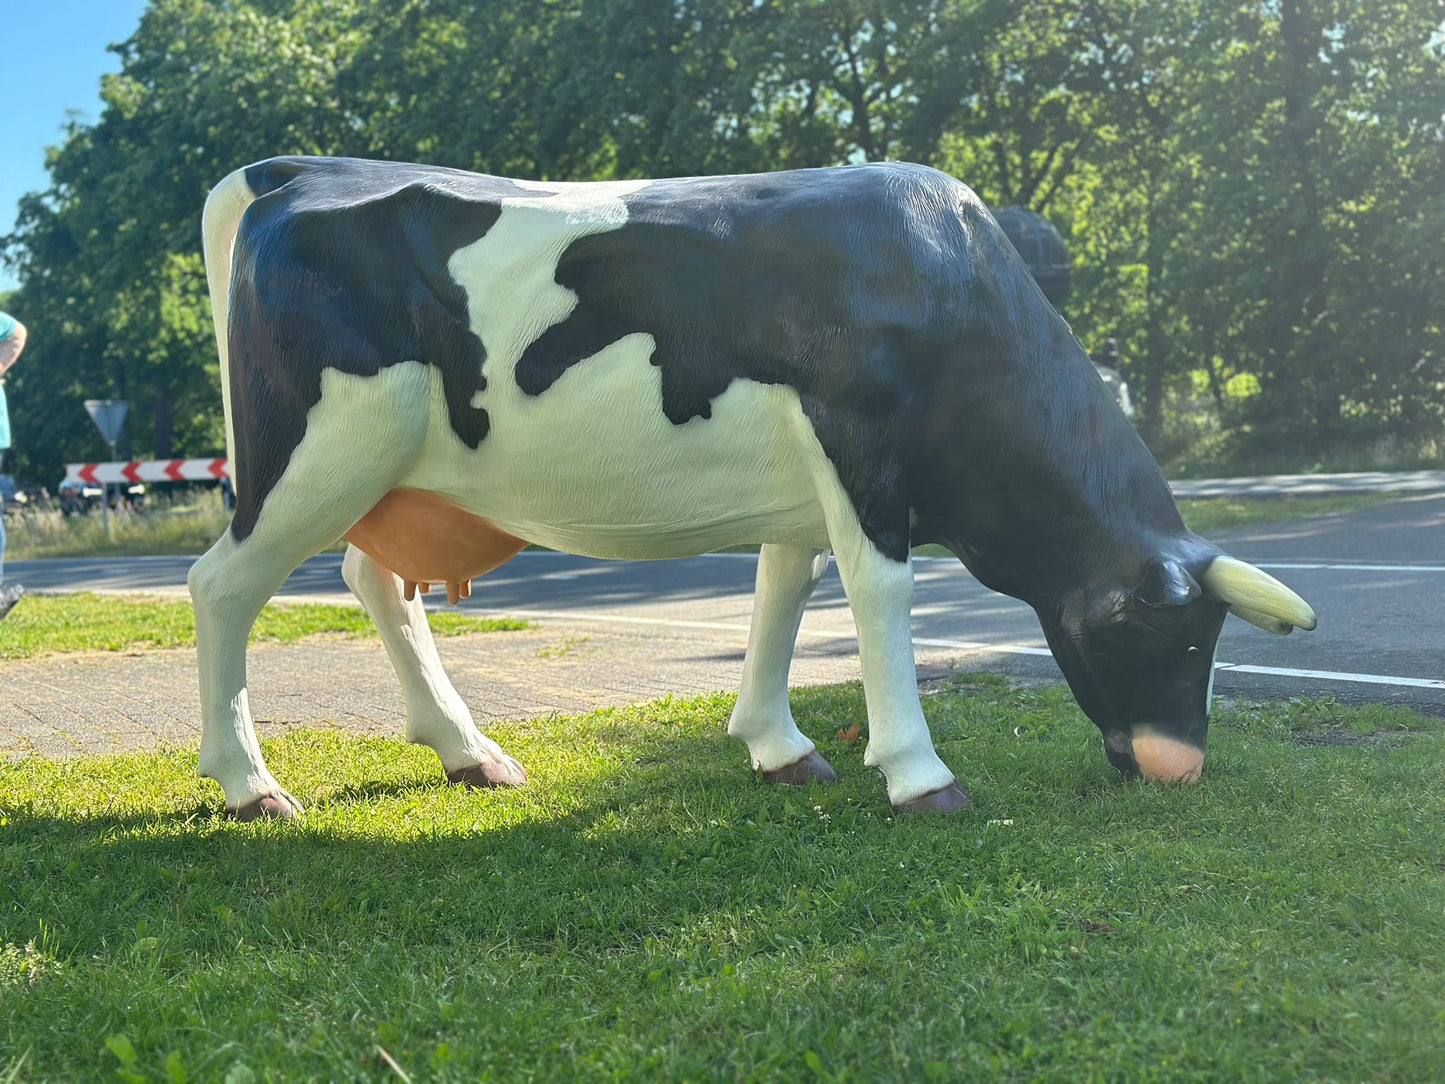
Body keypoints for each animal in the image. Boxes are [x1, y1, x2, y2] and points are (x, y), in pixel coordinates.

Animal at [193, 156, 1316, 820]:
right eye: (1170, 636)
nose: (1176, 766)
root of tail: (296, 170)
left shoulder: (806, 482)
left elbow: (785, 591)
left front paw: (776, 747)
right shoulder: (860, 445)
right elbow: (878, 597)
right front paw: (919, 773)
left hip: (386, 473)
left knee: (373, 580)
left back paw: (469, 753)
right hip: (322, 447)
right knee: (223, 585)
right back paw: (251, 785)